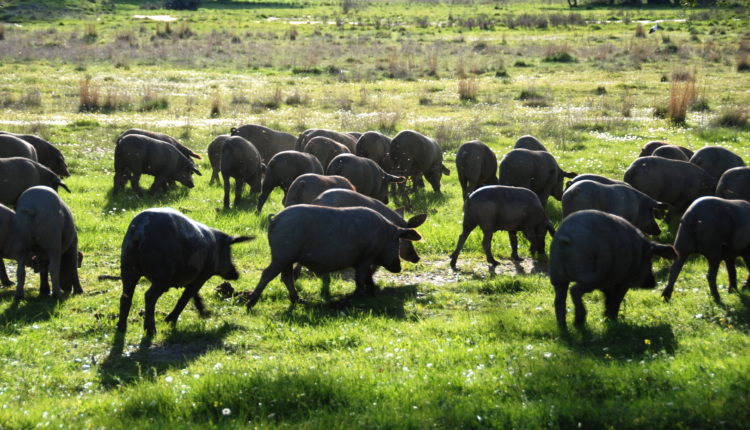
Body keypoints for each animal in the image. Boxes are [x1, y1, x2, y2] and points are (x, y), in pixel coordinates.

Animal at [117, 208, 253, 334]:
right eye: (228, 251)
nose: (237, 274)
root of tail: (138, 231)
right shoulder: (203, 274)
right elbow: (186, 296)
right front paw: (169, 321)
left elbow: (194, 295)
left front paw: (205, 315)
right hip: (162, 277)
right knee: (149, 296)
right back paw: (152, 331)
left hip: (127, 268)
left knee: (125, 296)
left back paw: (121, 328)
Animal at [244, 205, 421, 309]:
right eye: (397, 242)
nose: (398, 267)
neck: (384, 234)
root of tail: (275, 219)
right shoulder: (365, 258)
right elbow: (361, 277)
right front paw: (358, 297)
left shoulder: (364, 260)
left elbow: (368, 276)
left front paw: (371, 292)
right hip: (282, 255)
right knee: (268, 274)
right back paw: (250, 303)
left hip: (287, 258)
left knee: (286, 277)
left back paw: (299, 301)